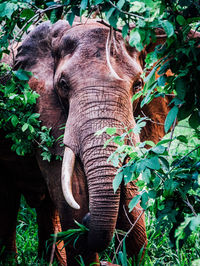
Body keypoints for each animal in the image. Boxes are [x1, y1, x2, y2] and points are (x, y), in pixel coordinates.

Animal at [0, 17, 171, 264]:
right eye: (63, 84)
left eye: (138, 85)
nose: (89, 219)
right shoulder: (44, 108)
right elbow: (73, 193)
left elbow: (130, 197)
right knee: (7, 199)